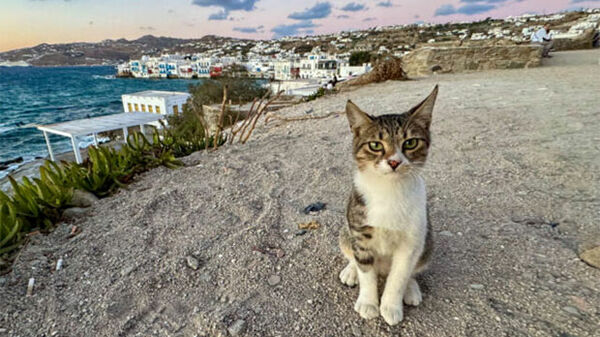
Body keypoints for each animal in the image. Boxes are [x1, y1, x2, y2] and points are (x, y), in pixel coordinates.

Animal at [340, 85, 438, 324]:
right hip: (345, 230)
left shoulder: (411, 241)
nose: (394, 161)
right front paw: (368, 303)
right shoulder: (360, 232)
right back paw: (350, 271)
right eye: (375, 145)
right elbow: (365, 271)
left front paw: (391, 306)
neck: (389, 190)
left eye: (410, 142)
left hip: (428, 241)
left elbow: (400, 276)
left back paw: (411, 289)